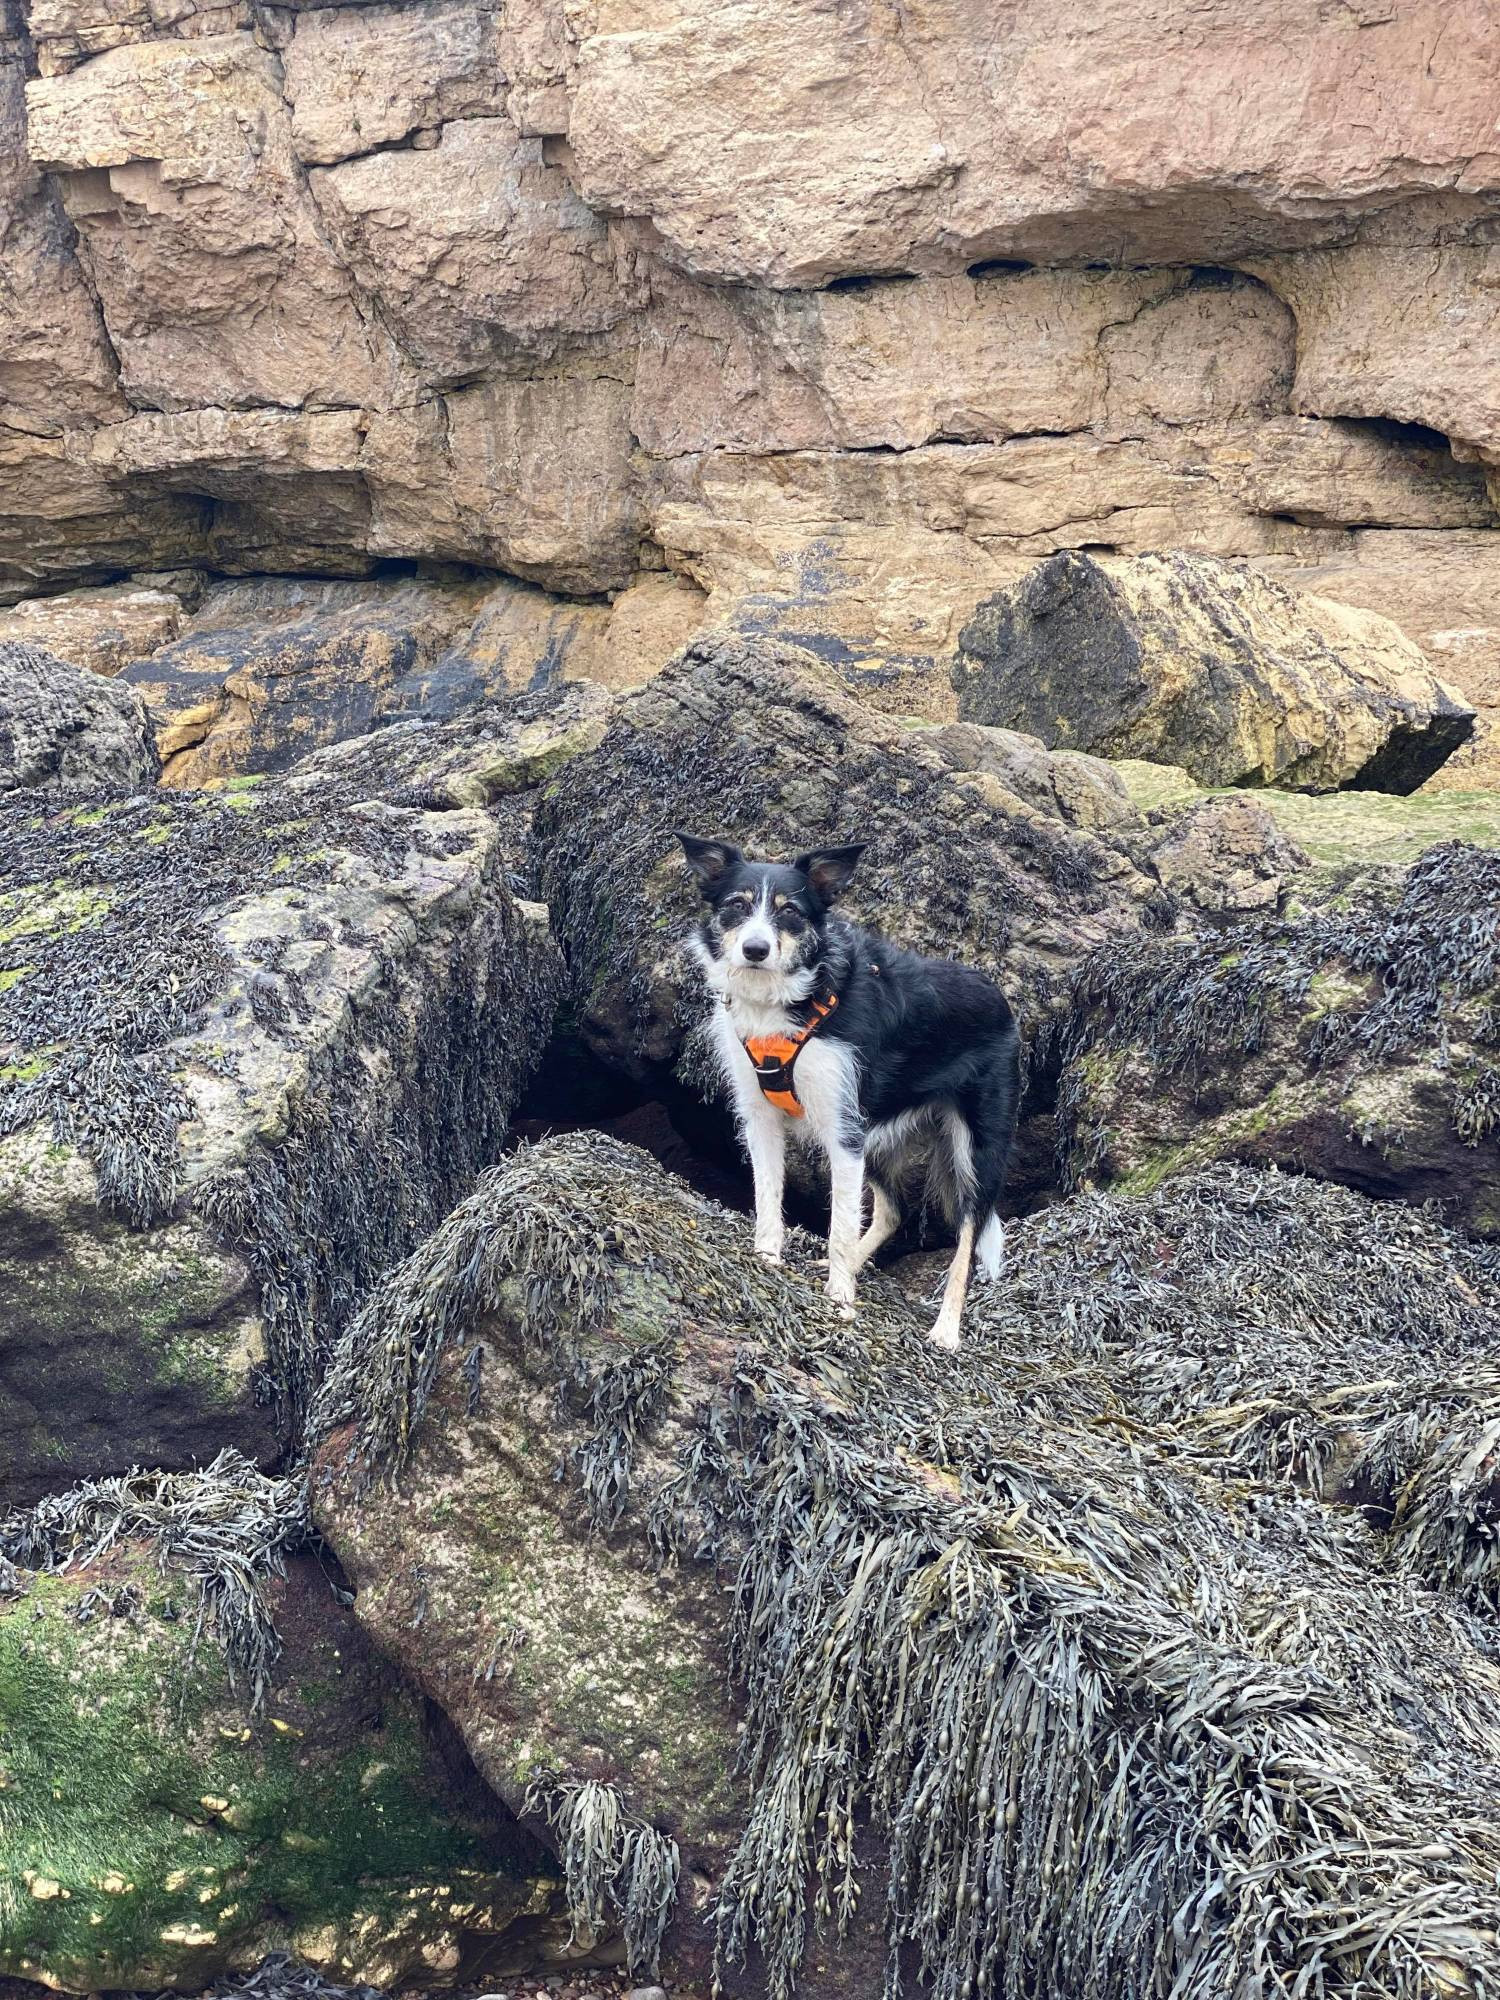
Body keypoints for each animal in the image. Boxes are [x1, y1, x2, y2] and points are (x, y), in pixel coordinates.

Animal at [680, 836, 1024, 1352]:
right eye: (736, 905)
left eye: (790, 911)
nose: (755, 949)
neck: (789, 998)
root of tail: (1001, 1000)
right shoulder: (762, 1118)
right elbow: (768, 1196)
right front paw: (767, 1259)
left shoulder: (843, 1131)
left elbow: (841, 1223)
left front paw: (840, 1299)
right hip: (876, 1132)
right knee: (895, 1211)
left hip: (977, 1147)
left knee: (968, 1230)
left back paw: (945, 1329)